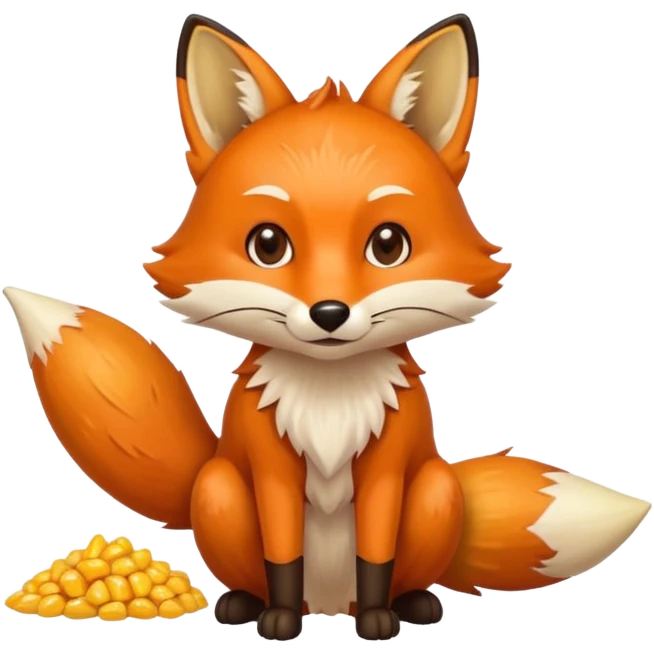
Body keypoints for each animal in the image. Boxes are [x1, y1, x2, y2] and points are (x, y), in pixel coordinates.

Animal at [2, 12, 651, 641]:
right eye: (268, 244)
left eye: (388, 244)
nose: (330, 314)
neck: (330, 400)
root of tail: (331, 604)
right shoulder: (272, 471)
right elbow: (283, 558)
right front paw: (280, 621)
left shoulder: (387, 470)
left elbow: (376, 557)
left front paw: (378, 622)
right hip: (218, 487)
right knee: (253, 569)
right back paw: (243, 604)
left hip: (436, 490)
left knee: (405, 569)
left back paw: (411, 604)